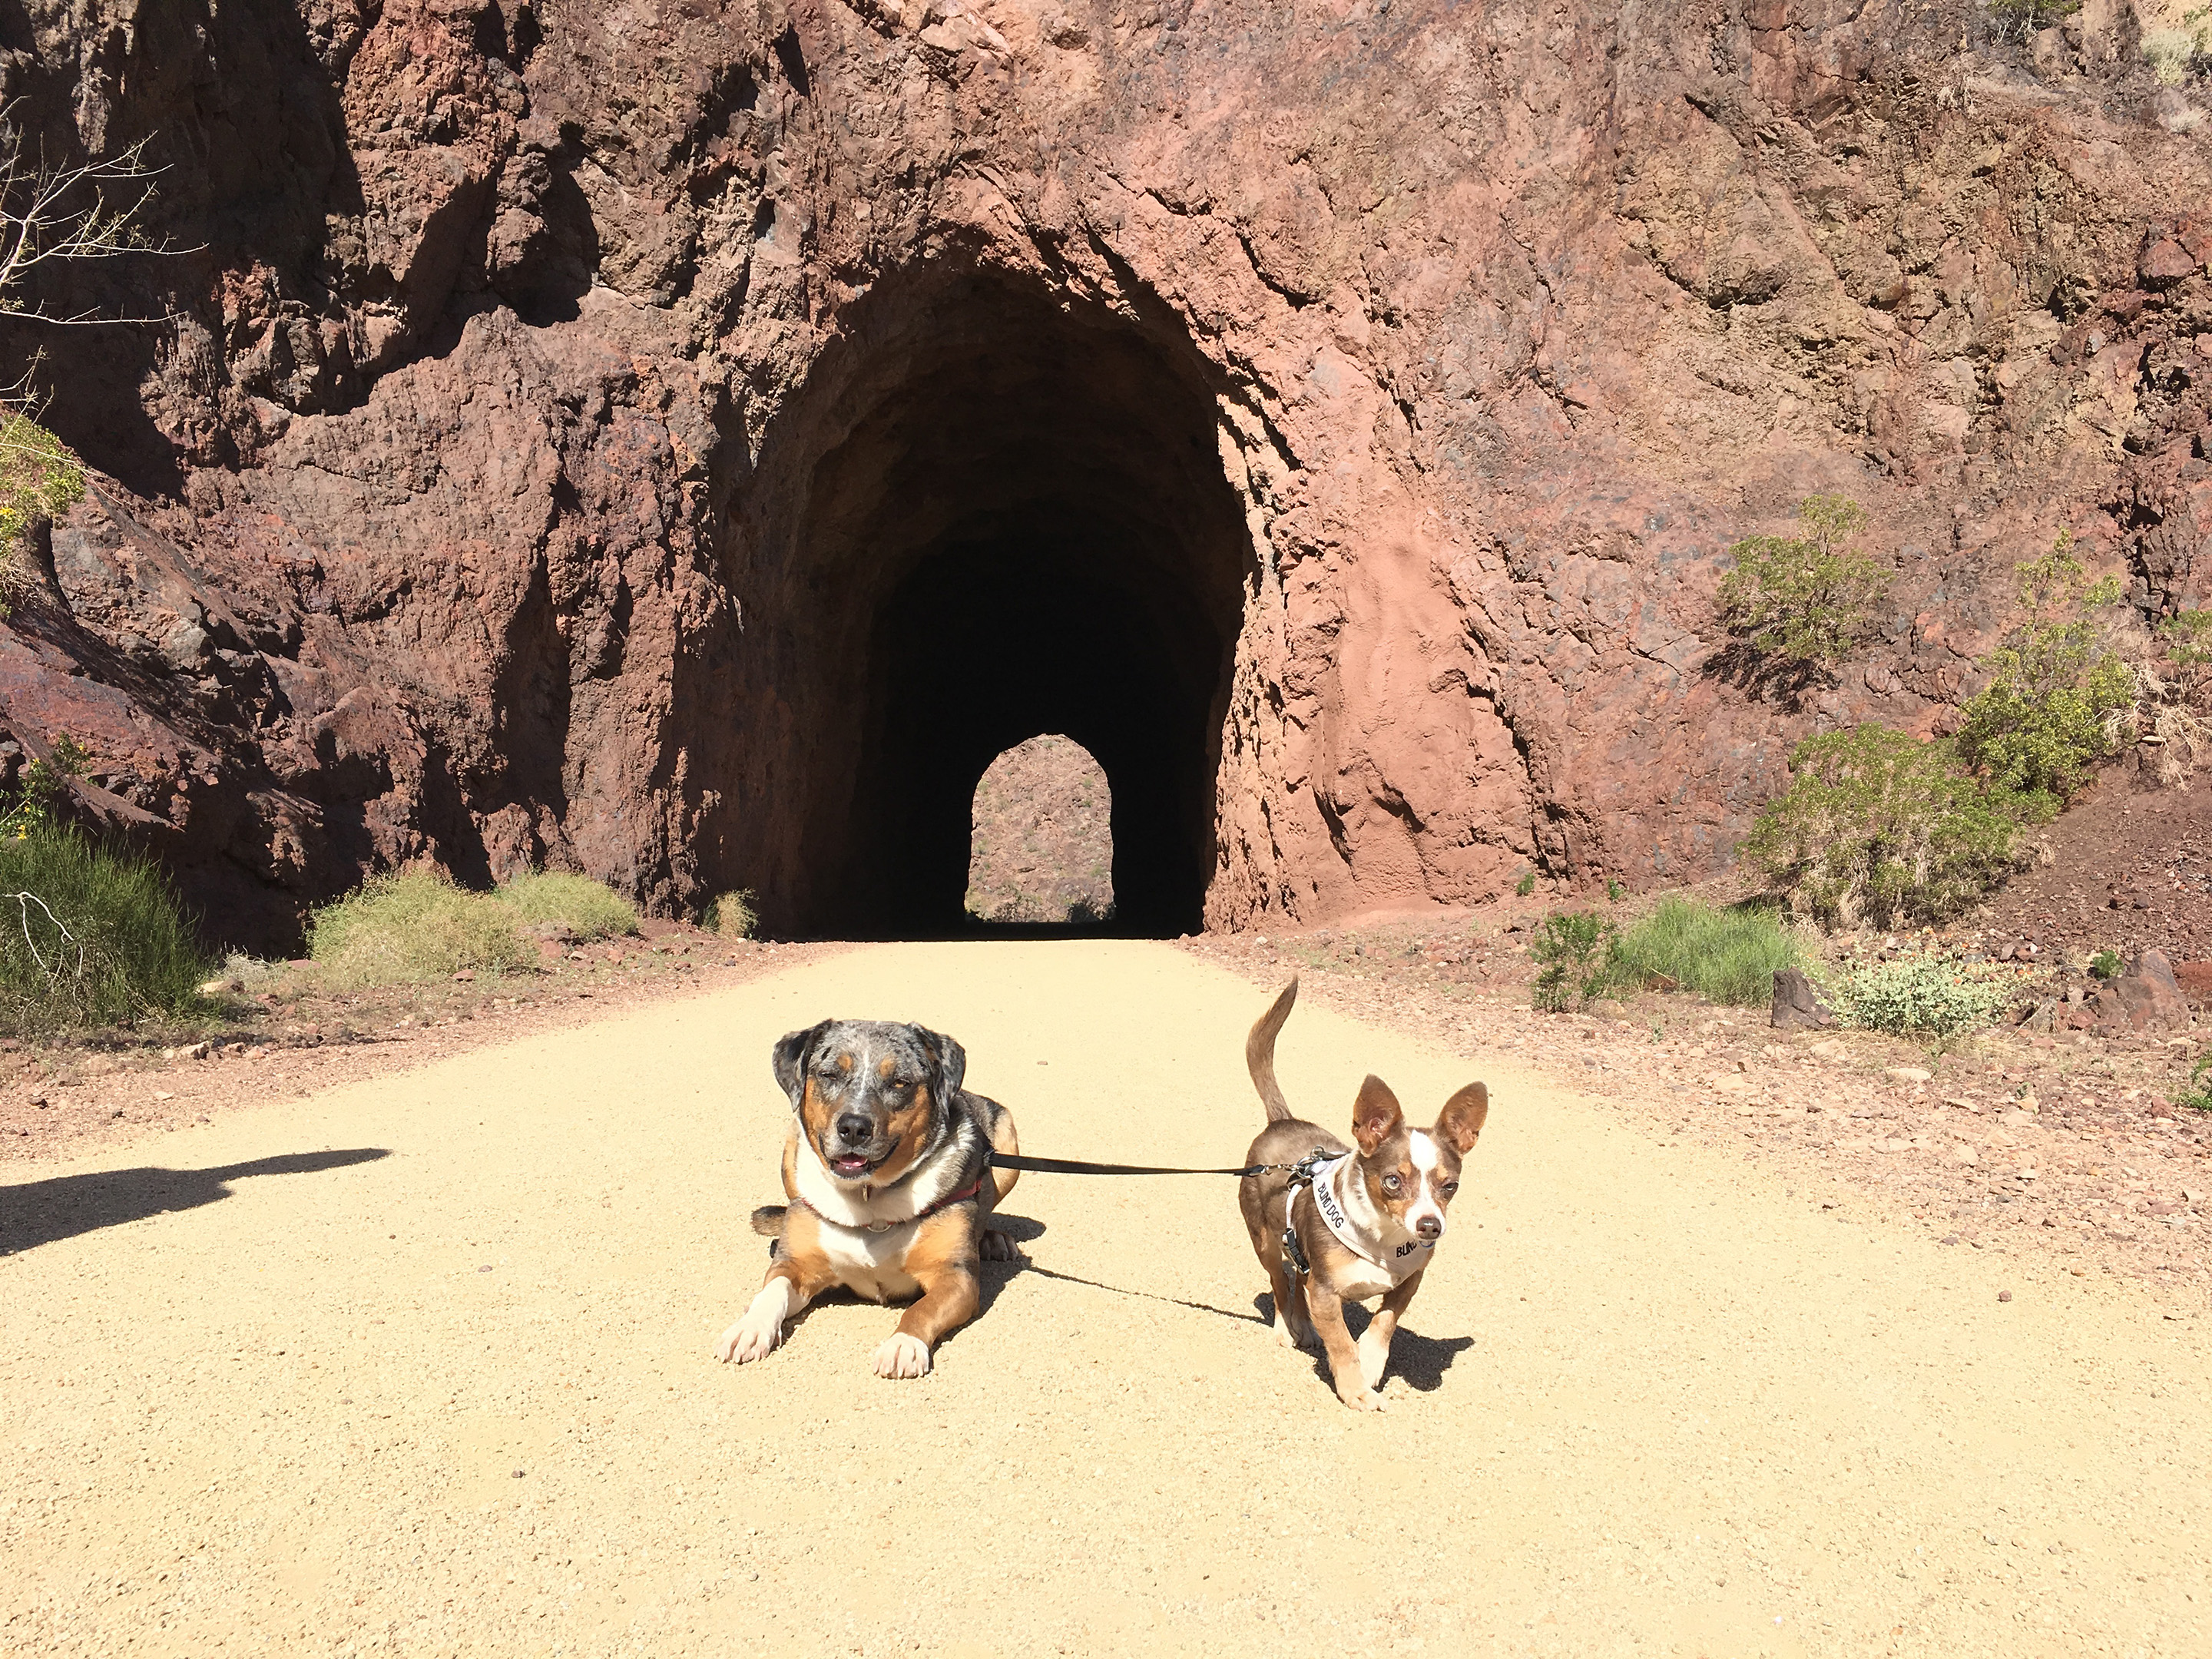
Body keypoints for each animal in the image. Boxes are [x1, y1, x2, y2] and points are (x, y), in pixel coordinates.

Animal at [712, 1022, 1022, 1380]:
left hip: (1007, 1140)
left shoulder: (956, 1277)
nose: (854, 1127)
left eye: (900, 1082)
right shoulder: (797, 1267)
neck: (868, 1199)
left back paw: (993, 1239)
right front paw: (750, 1327)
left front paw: (903, 1343)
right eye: (829, 1074)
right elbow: (771, 1290)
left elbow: (921, 1308)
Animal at [1238, 982, 1495, 1424]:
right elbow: (1341, 1343)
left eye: (1450, 1186)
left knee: (1297, 1277)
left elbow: (1385, 1321)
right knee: (1280, 1281)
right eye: (1393, 1181)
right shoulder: (1327, 1294)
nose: (1430, 1226)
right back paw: (1286, 1328)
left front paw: (1371, 1362)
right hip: (1265, 1241)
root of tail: (1281, 1121)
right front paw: (1355, 1389)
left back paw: (1304, 1326)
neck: (1382, 1239)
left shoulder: (1409, 1281)